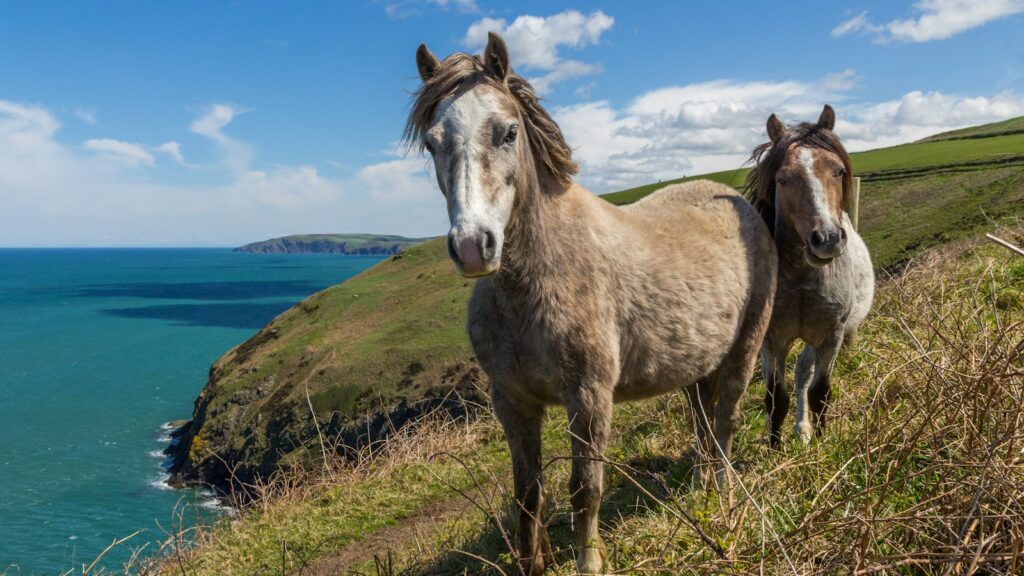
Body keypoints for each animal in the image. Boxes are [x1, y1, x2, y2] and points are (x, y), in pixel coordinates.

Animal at [406, 32, 777, 575]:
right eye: (433, 143)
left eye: (508, 132)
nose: (474, 246)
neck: (533, 284)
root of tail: (736, 201)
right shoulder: (512, 401)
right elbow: (528, 495)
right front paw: (532, 563)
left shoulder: (588, 396)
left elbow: (585, 489)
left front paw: (591, 562)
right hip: (694, 366)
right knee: (703, 422)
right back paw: (701, 489)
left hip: (745, 349)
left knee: (725, 422)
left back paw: (725, 495)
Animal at [745, 105, 875, 448]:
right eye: (782, 179)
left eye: (839, 171)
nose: (826, 239)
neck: (803, 280)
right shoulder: (773, 341)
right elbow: (776, 399)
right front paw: (773, 449)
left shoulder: (831, 336)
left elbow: (819, 392)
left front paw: (823, 439)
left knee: (803, 373)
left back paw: (803, 429)